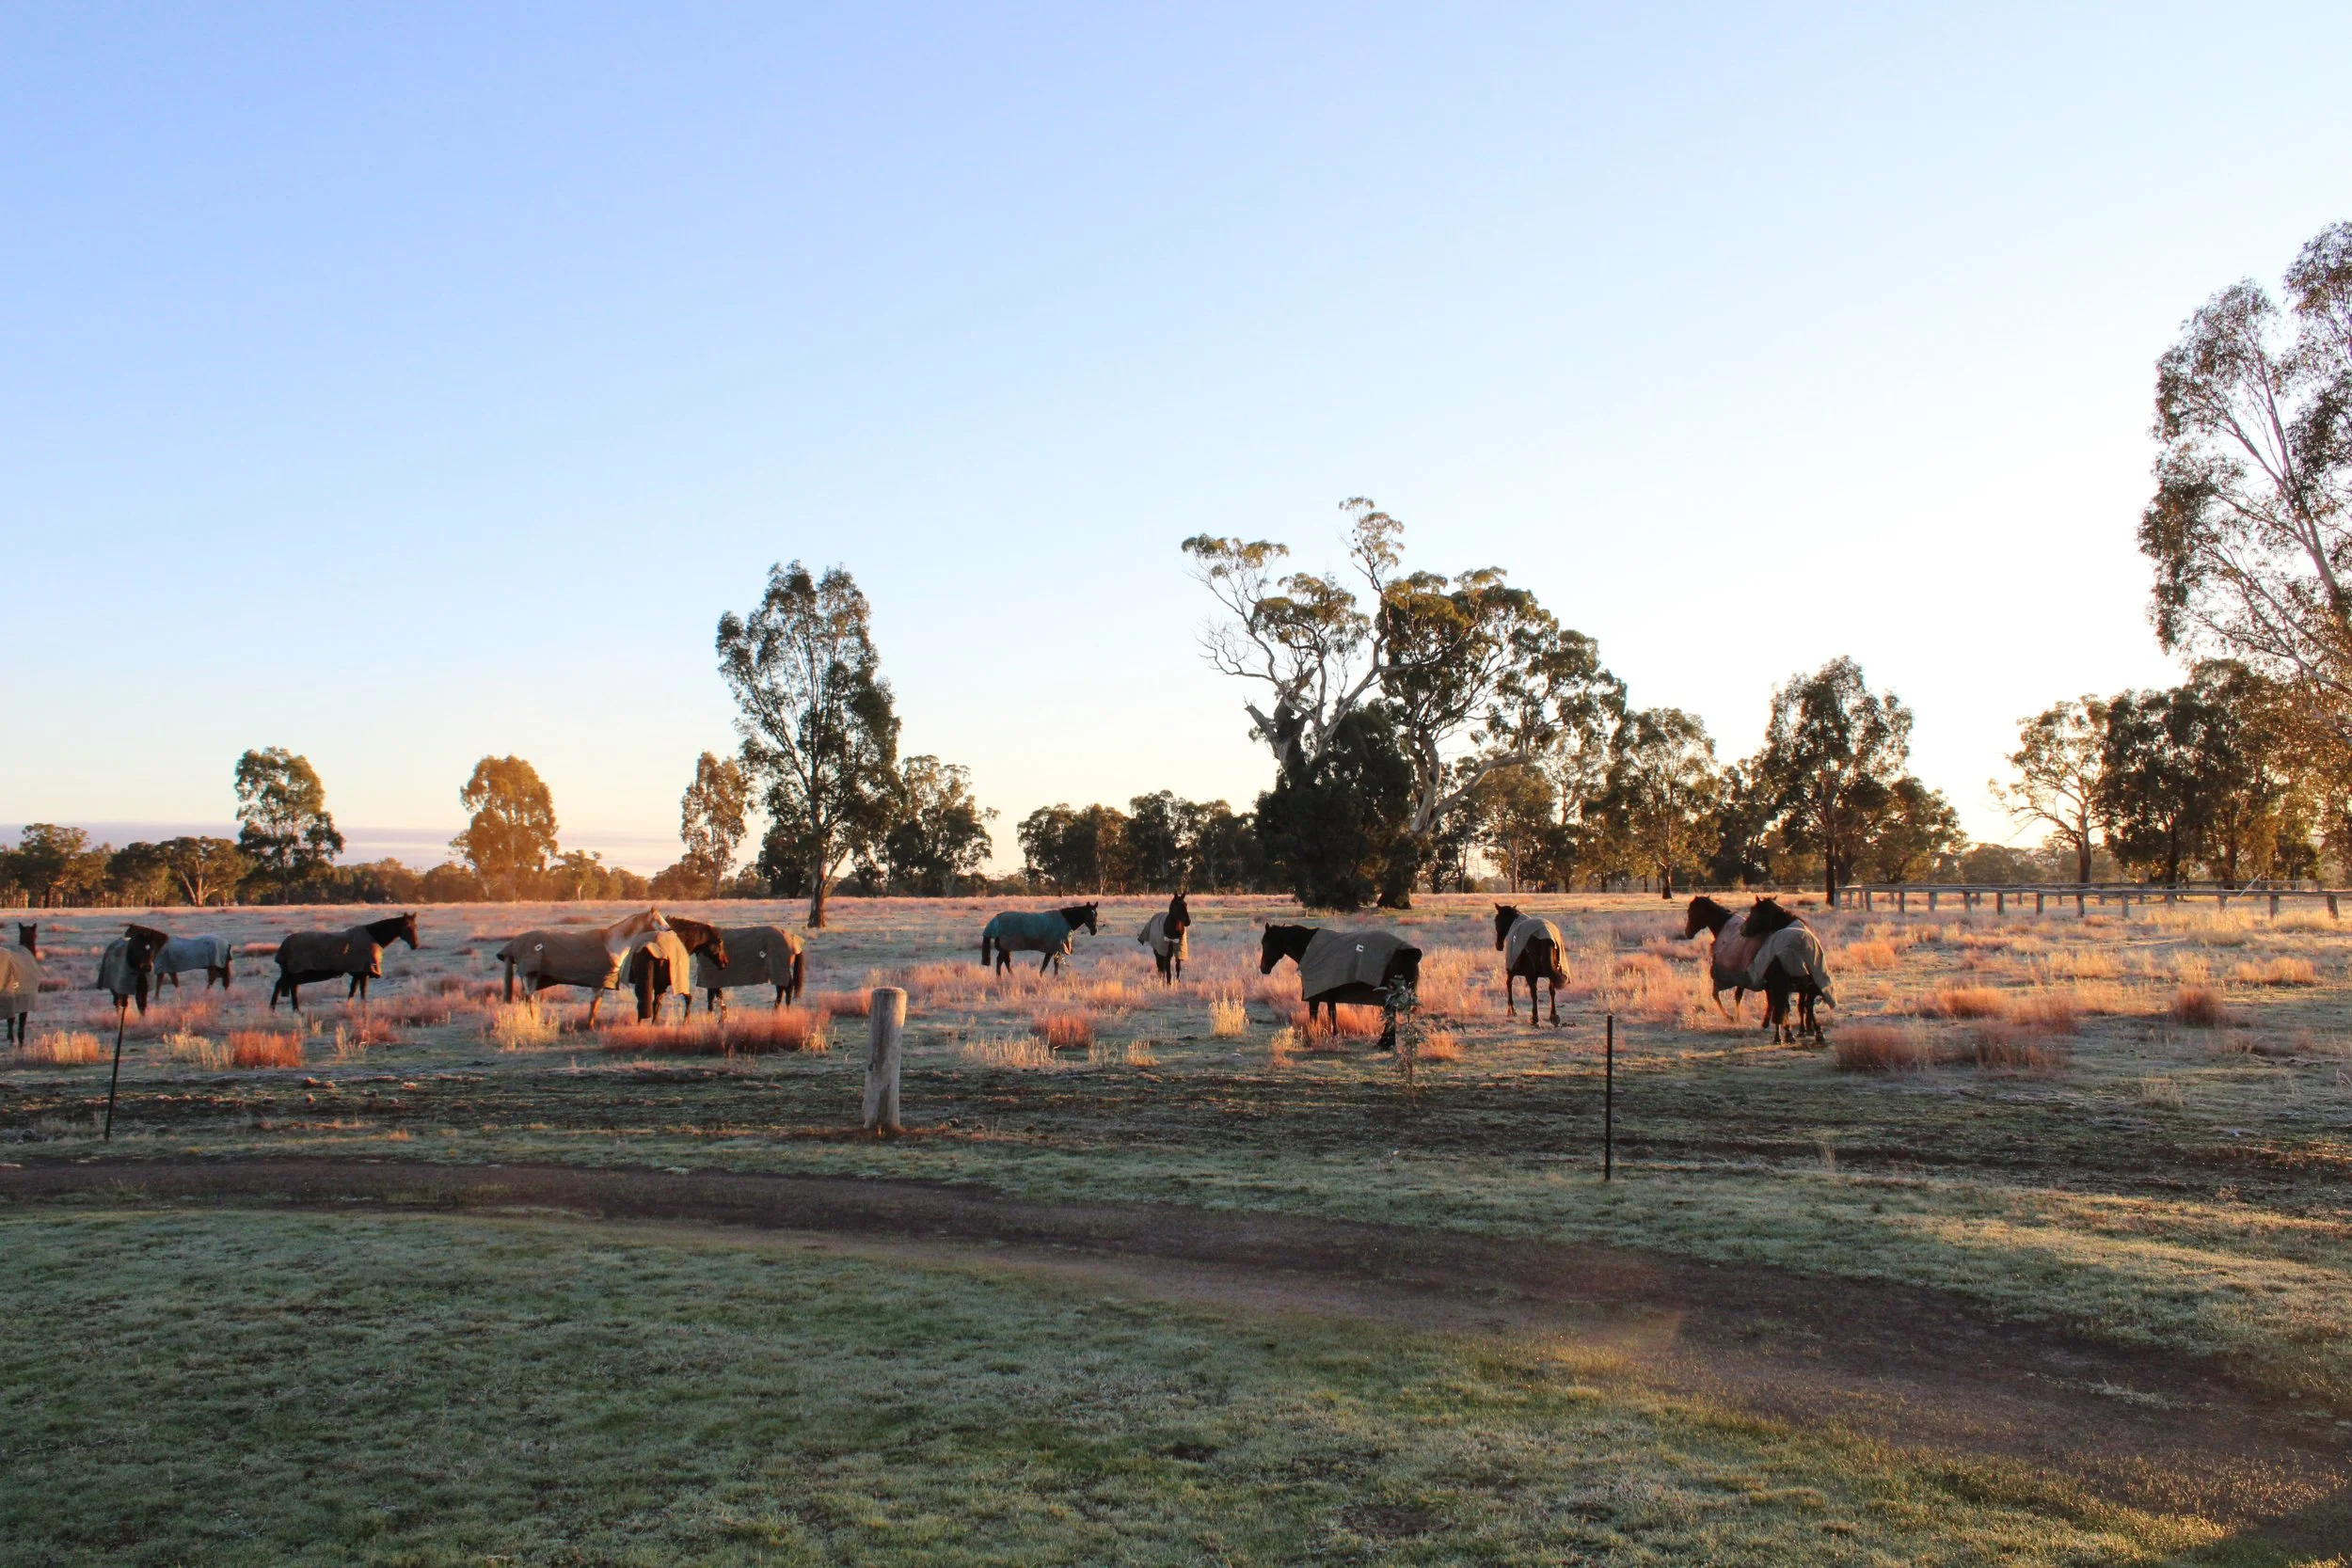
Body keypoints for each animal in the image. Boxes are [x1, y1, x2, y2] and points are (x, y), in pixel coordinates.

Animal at [0, 924, 40, 1047]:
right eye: (36, 935)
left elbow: (11, 1019)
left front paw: (11, 1038)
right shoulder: (25, 999)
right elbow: (21, 1020)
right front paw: (19, 1041)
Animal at [270, 913, 420, 1011]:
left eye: (415, 926)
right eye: (406, 926)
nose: (415, 945)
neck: (374, 936)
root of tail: (284, 945)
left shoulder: (358, 972)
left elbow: (353, 990)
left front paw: (349, 1007)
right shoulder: (364, 971)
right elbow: (362, 991)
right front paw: (363, 1007)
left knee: (281, 985)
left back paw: (275, 1009)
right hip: (296, 972)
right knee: (291, 987)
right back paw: (294, 1010)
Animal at [496, 908, 671, 1026]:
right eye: (658, 919)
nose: (669, 929)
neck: (612, 944)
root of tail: (512, 945)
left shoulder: (601, 983)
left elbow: (596, 1004)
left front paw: (590, 1025)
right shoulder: (597, 982)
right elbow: (594, 1005)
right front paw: (590, 1026)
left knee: (526, 999)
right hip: (530, 977)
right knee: (529, 999)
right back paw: (534, 1021)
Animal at [1259, 923, 1422, 1051]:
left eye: (1266, 943)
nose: (1263, 969)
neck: (1309, 948)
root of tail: (1408, 952)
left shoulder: (1314, 995)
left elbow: (1313, 1016)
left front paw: (1310, 1038)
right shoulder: (1331, 993)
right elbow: (1333, 1014)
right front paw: (1334, 1036)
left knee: (1390, 1014)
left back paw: (1385, 1043)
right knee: (1391, 1014)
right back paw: (1386, 1043)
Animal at [1493, 903, 1567, 1025]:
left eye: (1497, 921)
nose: (1498, 946)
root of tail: (1546, 937)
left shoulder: (1511, 969)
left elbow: (1509, 984)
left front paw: (1511, 1010)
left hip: (1530, 974)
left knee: (1534, 993)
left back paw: (1535, 1018)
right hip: (1551, 970)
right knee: (1552, 990)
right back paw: (1553, 1016)